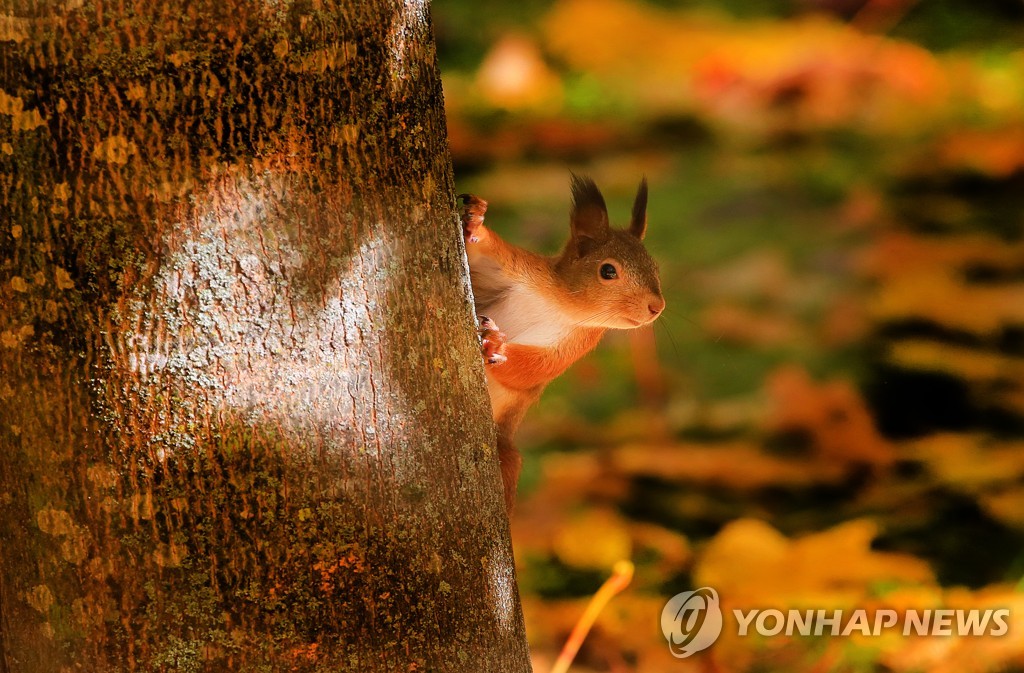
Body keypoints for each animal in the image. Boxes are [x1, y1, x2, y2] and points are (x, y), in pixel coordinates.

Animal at [456, 174, 663, 510]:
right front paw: (474, 223)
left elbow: (534, 369)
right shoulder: (517, 270)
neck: (560, 304)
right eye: (608, 270)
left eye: (654, 267)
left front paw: (497, 346)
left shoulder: (574, 345)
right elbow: (485, 253)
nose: (657, 306)